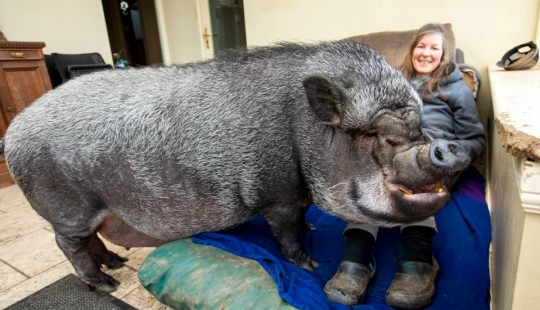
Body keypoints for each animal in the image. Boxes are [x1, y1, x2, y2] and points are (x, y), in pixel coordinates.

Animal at [2, 40, 468, 290]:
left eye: (417, 124)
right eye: (370, 134)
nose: (448, 148)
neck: (303, 130)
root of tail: (14, 130)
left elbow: (302, 221)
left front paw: (314, 229)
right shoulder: (279, 196)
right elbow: (286, 232)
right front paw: (311, 265)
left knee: (92, 241)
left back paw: (115, 265)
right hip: (68, 207)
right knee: (69, 245)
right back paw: (108, 283)